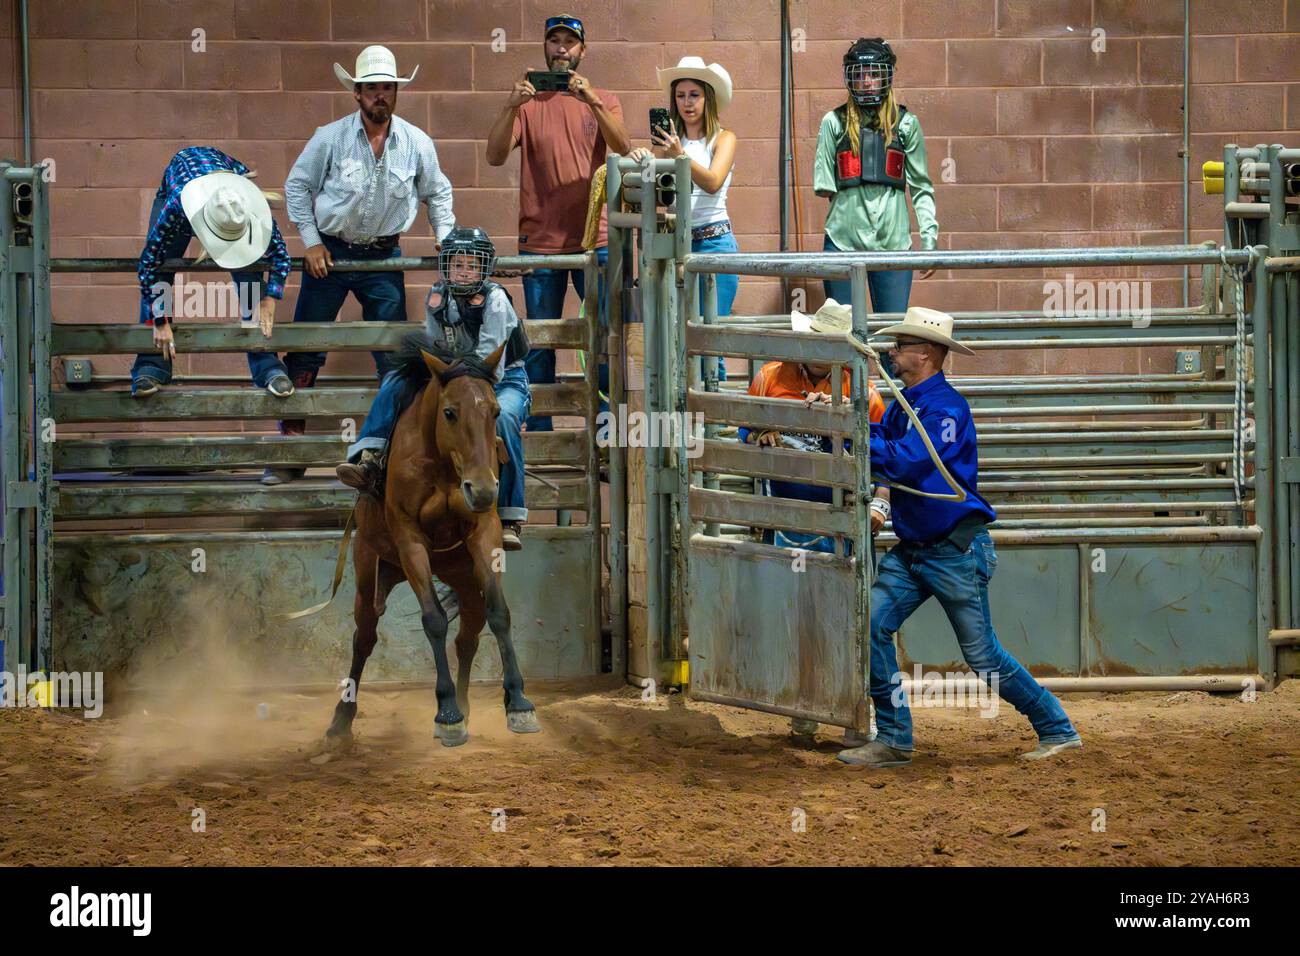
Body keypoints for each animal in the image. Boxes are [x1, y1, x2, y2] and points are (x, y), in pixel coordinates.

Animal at [330, 335, 543, 749]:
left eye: (495, 411)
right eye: (449, 412)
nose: (482, 489)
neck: (445, 465)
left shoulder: (484, 532)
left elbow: (500, 614)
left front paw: (519, 703)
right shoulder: (409, 539)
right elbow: (433, 620)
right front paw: (447, 715)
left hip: (466, 581)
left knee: (467, 638)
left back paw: (469, 703)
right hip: (369, 573)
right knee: (364, 637)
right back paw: (340, 719)